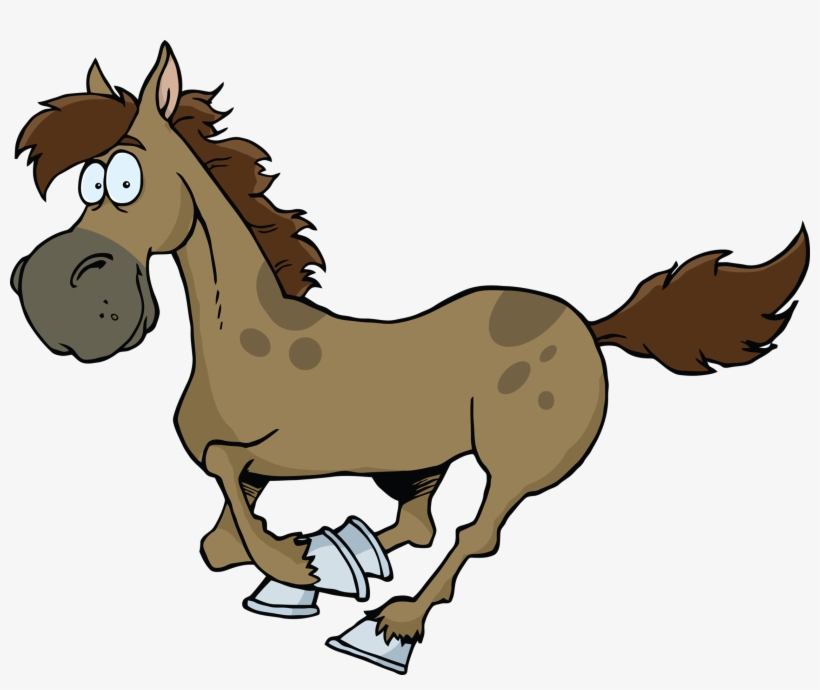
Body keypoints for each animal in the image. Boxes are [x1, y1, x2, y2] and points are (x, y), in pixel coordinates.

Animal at [10, 43, 810, 672]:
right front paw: (300, 559)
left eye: (122, 179)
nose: (53, 297)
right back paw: (351, 549)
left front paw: (294, 569)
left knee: (473, 535)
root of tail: (589, 323)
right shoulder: (252, 467)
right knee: (418, 524)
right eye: (87, 183)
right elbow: (221, 532)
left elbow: (232, 487)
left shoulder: (278, 450)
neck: (242, 343)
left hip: (515, 462)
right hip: (422, 455)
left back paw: (388, 625)